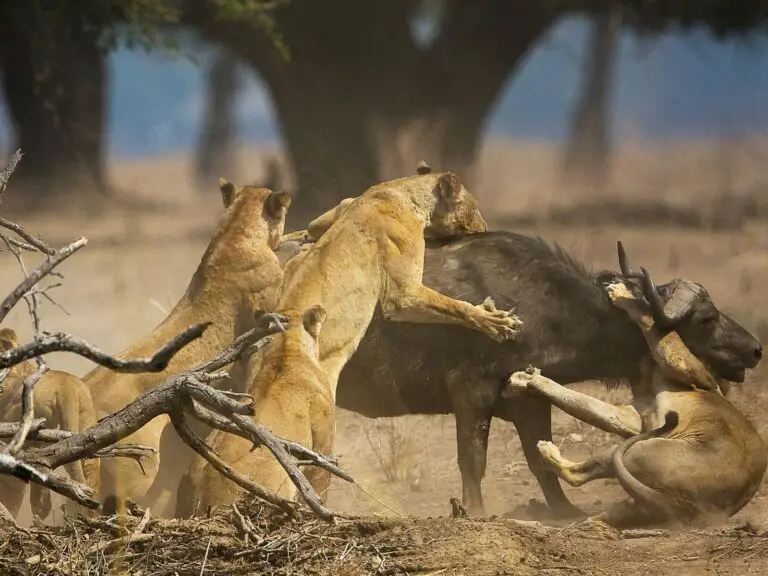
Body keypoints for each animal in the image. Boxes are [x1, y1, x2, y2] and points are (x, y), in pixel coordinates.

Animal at [508, 268, 764, 528]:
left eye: (709, 318)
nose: (755, 351)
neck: (647, 369)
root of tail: (681, 507)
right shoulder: (636, 414)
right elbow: (583, 403)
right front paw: (526, 379)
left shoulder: (694, 373)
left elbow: (655, 325)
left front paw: (621, 294)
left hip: (639, 449)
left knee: (580, 474)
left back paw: (546, 451)